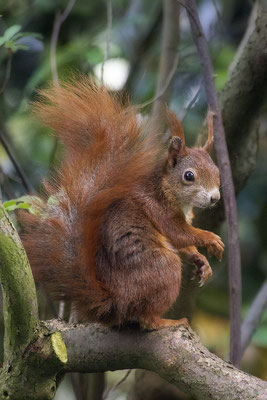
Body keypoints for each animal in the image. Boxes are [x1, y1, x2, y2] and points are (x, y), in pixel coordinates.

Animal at [19, 79, 224, 332]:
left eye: (217, 171)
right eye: (189, 176)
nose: (215, 198)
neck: (171, 195)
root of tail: (114, 303)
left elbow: (183, 243)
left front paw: (201, 261)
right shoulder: (158, 209)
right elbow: (180, 234)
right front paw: (210, 238)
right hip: (163, 268)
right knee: (145, 319)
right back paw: (167, 320)